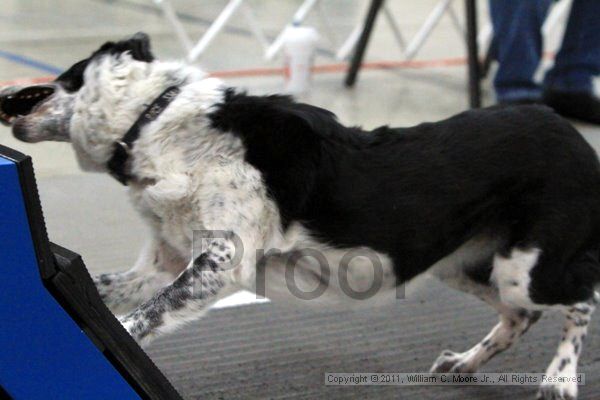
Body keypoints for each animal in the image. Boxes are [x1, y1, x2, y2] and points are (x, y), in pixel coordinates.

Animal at [1, 33, 600, 396]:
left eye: (61, 77)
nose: (9, 97)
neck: (156, 119)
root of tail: (570, 132)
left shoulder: (221, 261)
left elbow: (138, 322)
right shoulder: (163, 262)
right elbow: (107, 297)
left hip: (525, 268)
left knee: (580, 302)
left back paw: (560, 379)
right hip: (463, 265)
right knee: (520, 317)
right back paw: (466, 363)